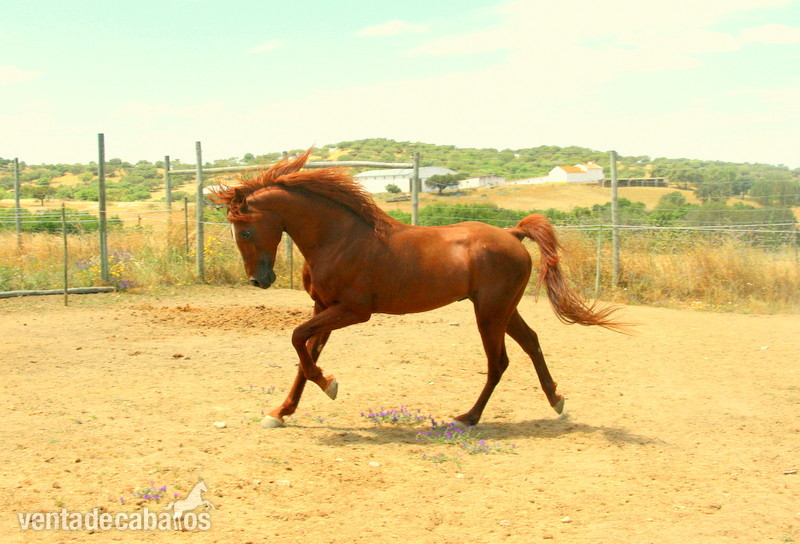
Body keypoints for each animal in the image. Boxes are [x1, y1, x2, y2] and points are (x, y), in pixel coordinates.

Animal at [211, 149, 626, 430]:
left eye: (244, 230)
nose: (259, 280)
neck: (339, 238)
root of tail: (512, 234)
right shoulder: (322, 308)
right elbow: (304, 356)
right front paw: (281, 412)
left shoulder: (353, 311)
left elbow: (298, 341)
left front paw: (330, 385)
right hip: (503, 310)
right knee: (532, 343)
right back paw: (556, 400)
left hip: (489, 312)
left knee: (499, 362)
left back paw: (467, 418)